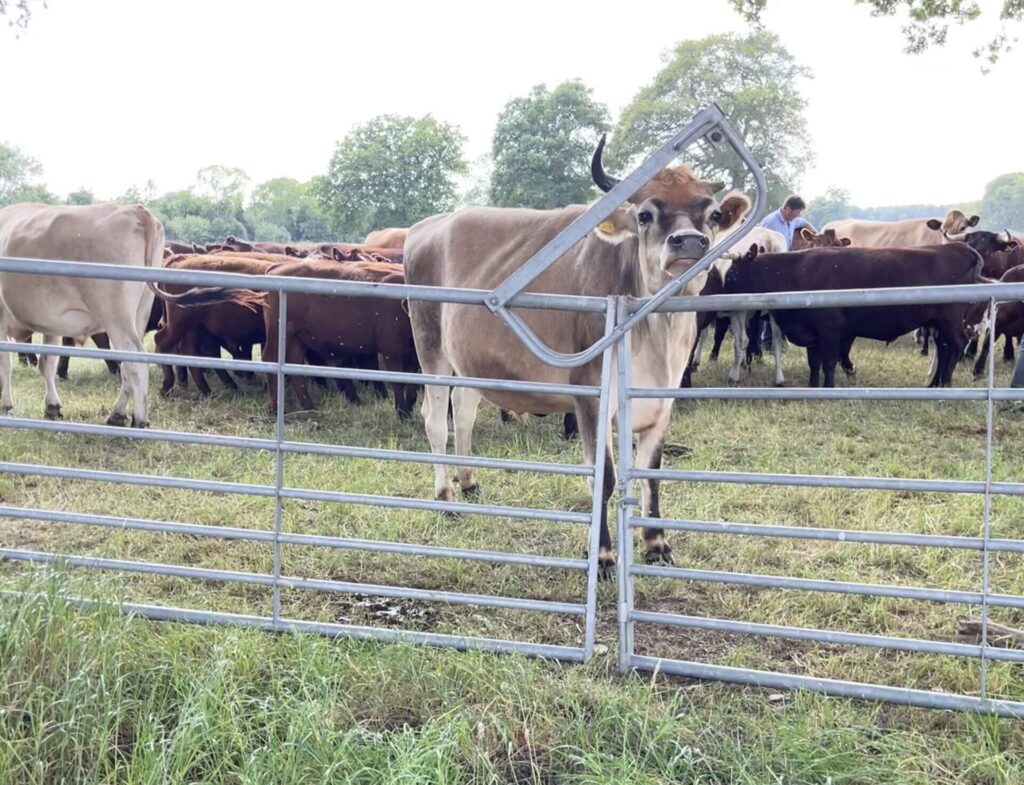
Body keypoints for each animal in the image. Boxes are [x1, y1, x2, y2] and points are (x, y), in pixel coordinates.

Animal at [261, 261, 419, 418]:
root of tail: (277, 268)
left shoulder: (413, 354)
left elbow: (413, 382)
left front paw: (409, 408)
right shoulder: (391, 350)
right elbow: (398, 380)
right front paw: (402, 412)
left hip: (297, 339)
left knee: (296, 370)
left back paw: (309, 408)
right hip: (279, 334)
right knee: (270, 360)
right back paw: (275, 408)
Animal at [404, 135, 751, 573]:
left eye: (713, 214)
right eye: (645, 214)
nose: (688, 242)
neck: (657, 334)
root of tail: (429, 226)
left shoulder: (663, 396)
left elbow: (651, 471)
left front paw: (657, 543)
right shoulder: (590, 394)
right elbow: (603, 478)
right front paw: (601, 555)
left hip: (469, 361)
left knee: (462, 412)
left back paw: (469, 482)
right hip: (430, 345)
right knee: (435, 420)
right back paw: (446, 497)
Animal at [724, 243, 984, 388]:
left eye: (732, 274)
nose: (722, 297)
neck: (795, 272)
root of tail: (961, 247)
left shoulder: (830, 329)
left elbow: (829, 362)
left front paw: (828, 388)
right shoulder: (812, 332)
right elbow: (814, 363)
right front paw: (812, 386)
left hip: (951, 318)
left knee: (956, 344)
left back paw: (946, 384)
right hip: (938, 322)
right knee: (944, 347)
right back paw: (933, 384)